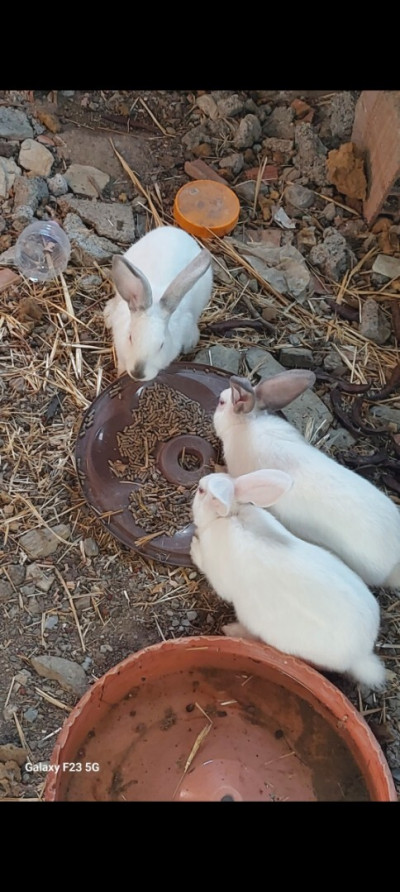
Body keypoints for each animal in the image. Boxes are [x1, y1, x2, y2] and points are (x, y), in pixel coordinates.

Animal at [191, 466, 384, 688]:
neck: (230, 514)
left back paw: (231, 630)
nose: (199, 482)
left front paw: (192, 547)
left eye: (201, 491)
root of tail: (360, 655)